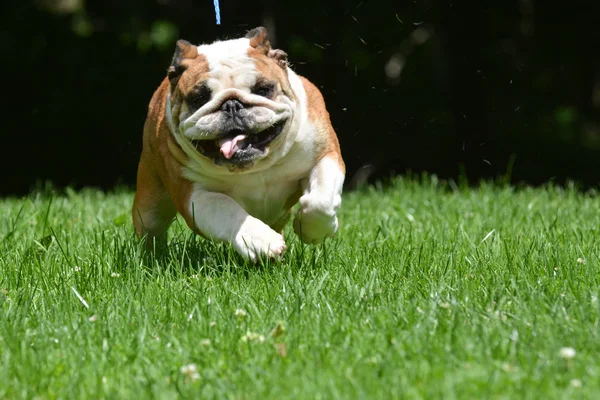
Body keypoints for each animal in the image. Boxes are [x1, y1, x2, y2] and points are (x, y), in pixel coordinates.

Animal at [133, 26, 344, 260]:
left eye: (263, 89)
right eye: (199, 98)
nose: (231, 105)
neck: (256, 166)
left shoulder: (325, 155)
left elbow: (321, 201)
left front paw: (312, 230)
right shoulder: (193, 195)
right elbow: (227, 211)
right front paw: (261, 241)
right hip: (149, 204)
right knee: (151, 228)